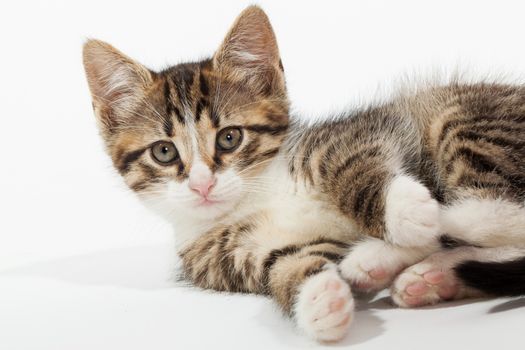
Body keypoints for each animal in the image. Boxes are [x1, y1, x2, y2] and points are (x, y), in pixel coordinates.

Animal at [83, 5, 524, 342]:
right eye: (163, 151)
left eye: (229, 138)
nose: (202, 185)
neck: (256, 197)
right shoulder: (236, 255)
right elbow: (286, 266)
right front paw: (319, 300)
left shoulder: (358, 133)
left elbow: (351, 169)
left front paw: (404, 213)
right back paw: (417, 272)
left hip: (461, 117)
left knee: (499, 212)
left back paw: (428, 228)